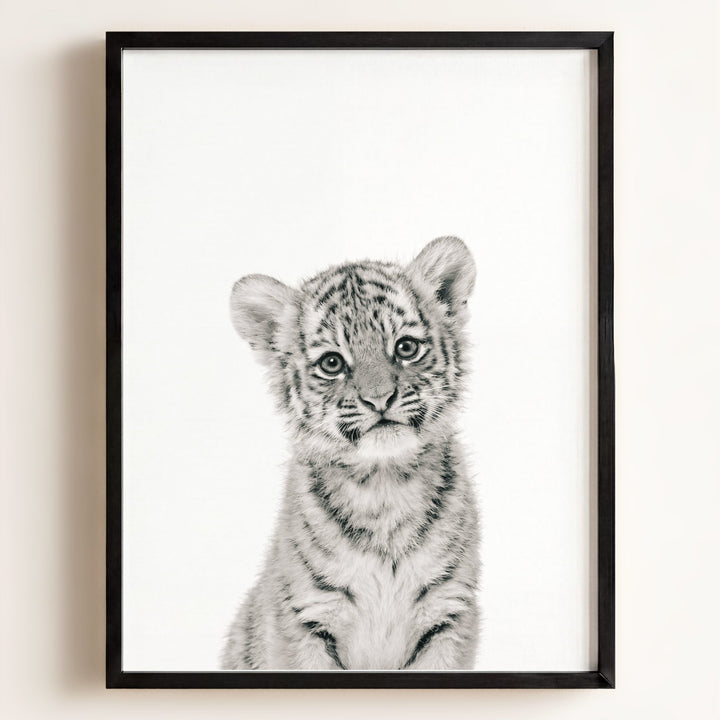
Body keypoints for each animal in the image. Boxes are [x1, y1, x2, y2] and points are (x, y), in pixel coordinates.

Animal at [221, 236, 480, 671]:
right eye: (332, 363)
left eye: (406, 347)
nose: (380, 399)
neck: (384, 486)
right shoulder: (306, 618)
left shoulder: (448, 613)